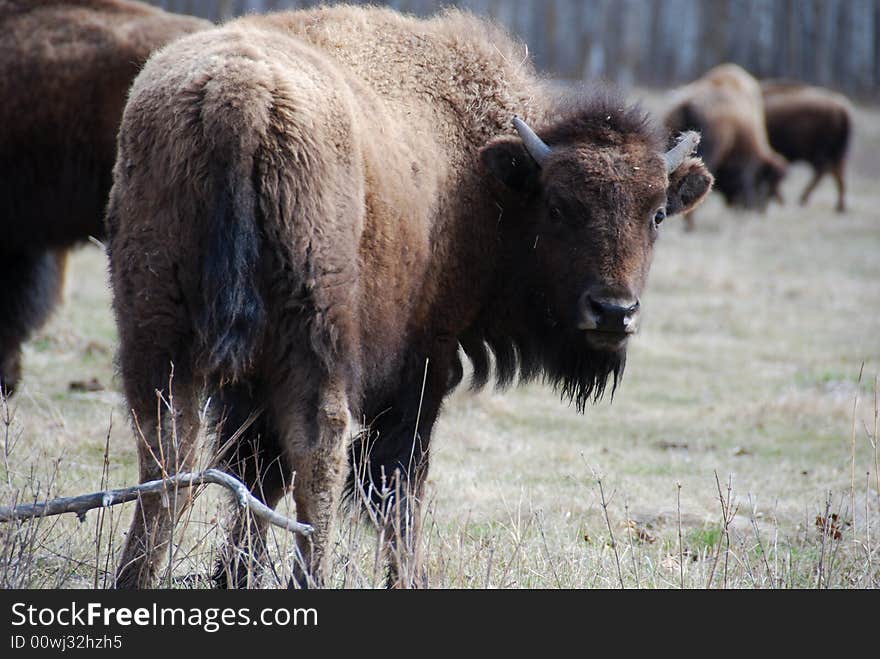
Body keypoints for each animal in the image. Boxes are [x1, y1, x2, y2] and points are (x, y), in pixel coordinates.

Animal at [108, 5, 716, 592]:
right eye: (560, 208)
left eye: (657, 214)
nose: (614, 312)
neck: (488, 178)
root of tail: (241, 95)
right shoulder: (424, 363)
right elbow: (397, 485)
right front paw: (406, 578)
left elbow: (256, 475)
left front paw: (233, 576)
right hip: (316, 334)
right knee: (318, 452)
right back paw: (310, 576)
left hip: (154, 322)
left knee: (167, 451)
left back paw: (133, 576)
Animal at [764, 81, 852, 213]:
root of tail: (841, 109)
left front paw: (779, 199)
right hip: (836, 153)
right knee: (837, 173)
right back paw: (840, 207)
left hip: (818, 153)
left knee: (823, 170)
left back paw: (802, 199)